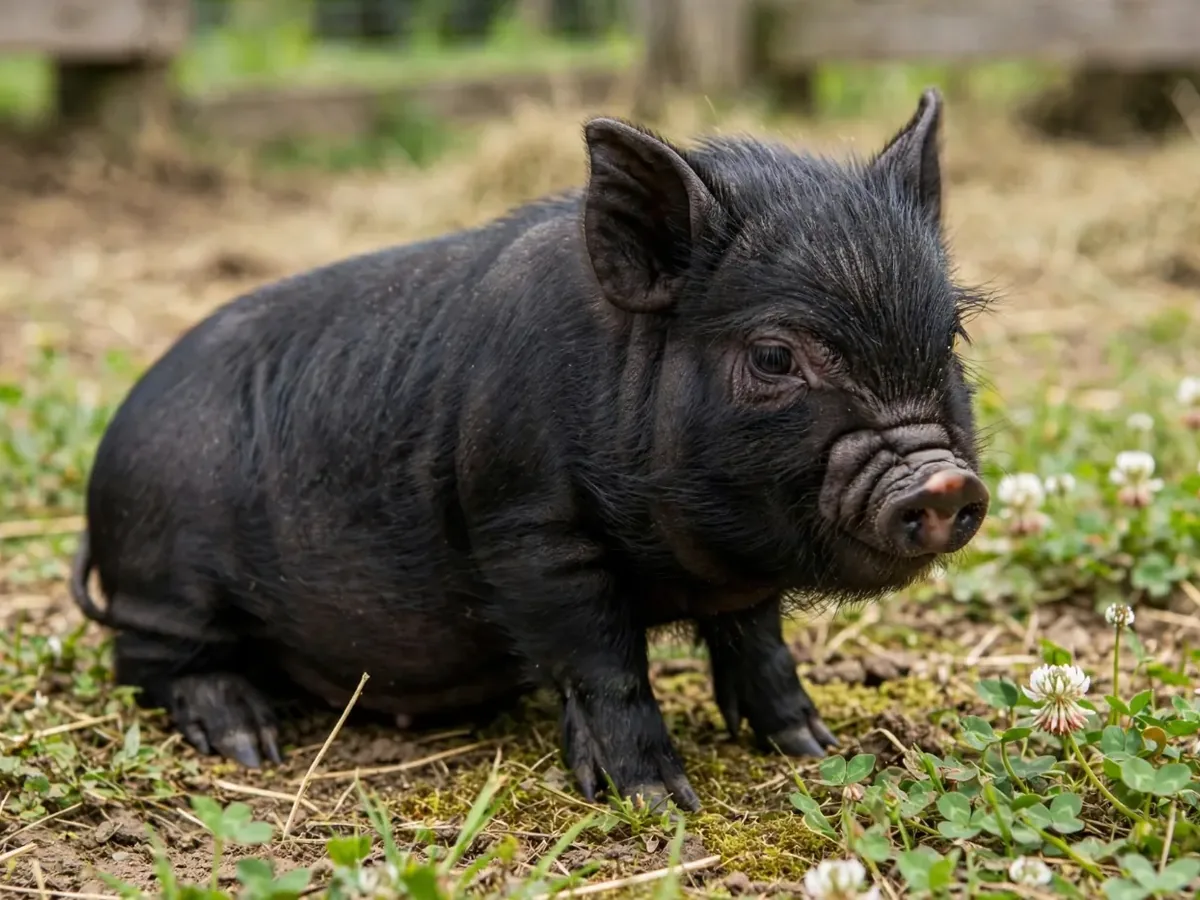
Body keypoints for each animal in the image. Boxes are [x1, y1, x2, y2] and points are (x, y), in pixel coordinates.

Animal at [70, 87, 991, 813]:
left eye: (949, 338)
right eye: (773, 357)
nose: (941, 481)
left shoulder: (738, 570)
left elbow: (759, 643)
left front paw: (813, 746)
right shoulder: (529, 527)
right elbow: (604, 664)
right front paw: (657, 800)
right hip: (166, 577)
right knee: (154, 659)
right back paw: (249, 740)